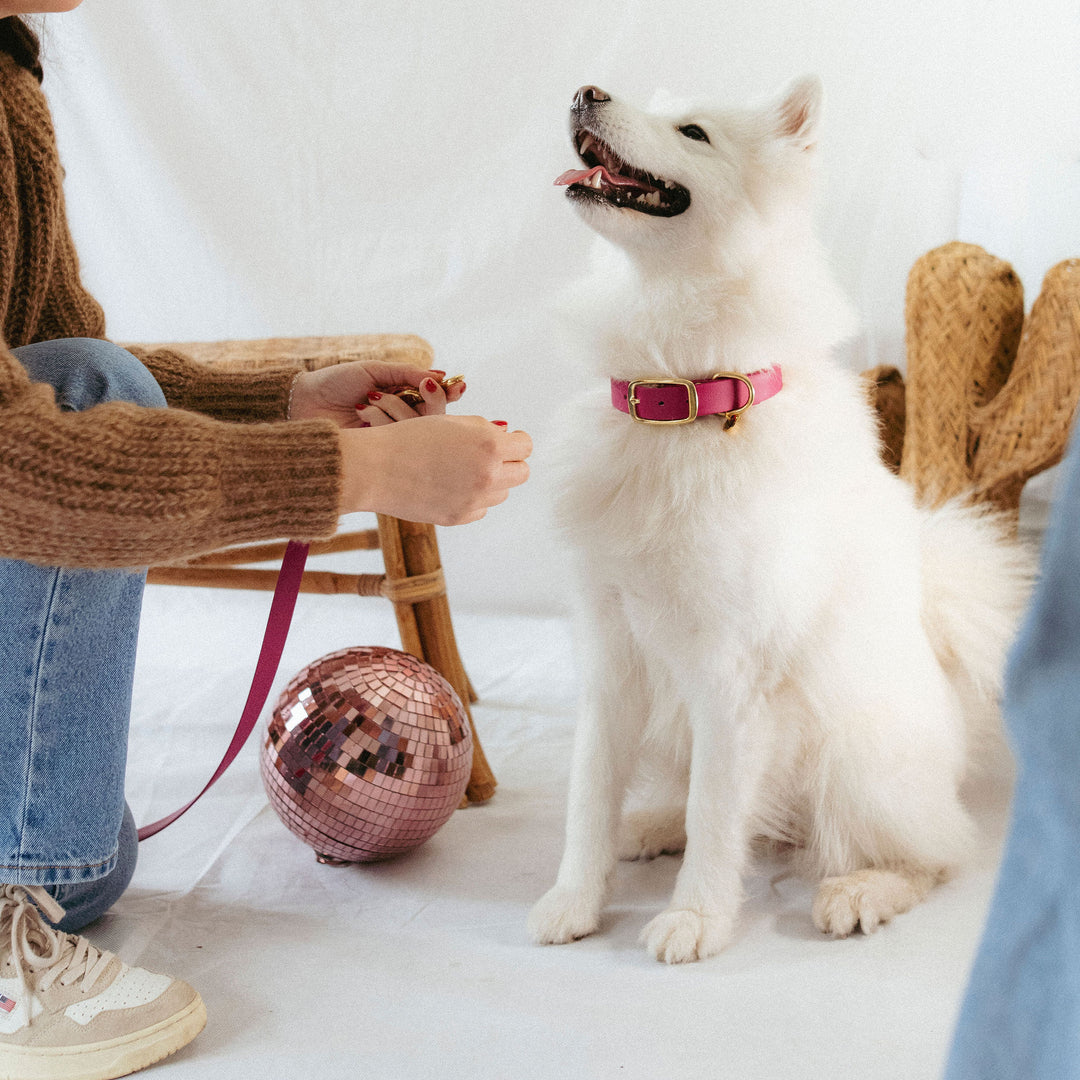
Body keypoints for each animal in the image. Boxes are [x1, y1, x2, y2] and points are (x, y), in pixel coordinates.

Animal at [527, 79, 1032, 967]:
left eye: (693, 132)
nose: (587, 90)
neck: (681, 402)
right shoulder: (611, 654)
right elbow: (591, 798)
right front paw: (575, 900)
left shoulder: (730, 675)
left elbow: (717, 813)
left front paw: (695, 917)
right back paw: (649, 825)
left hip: (852, 760)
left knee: (935, 854)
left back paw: (860, 891)